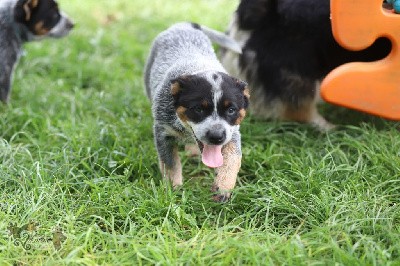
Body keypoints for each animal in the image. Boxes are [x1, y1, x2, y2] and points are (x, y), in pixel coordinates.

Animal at [144, 22, 250, 202]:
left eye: (231, 110)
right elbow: (171, 163)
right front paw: (173, 188)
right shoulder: (163, 132)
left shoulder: (233, 133)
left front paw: (223, 186)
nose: (216, 136)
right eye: (198, 109)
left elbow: (233, 159)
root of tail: (184, 24)